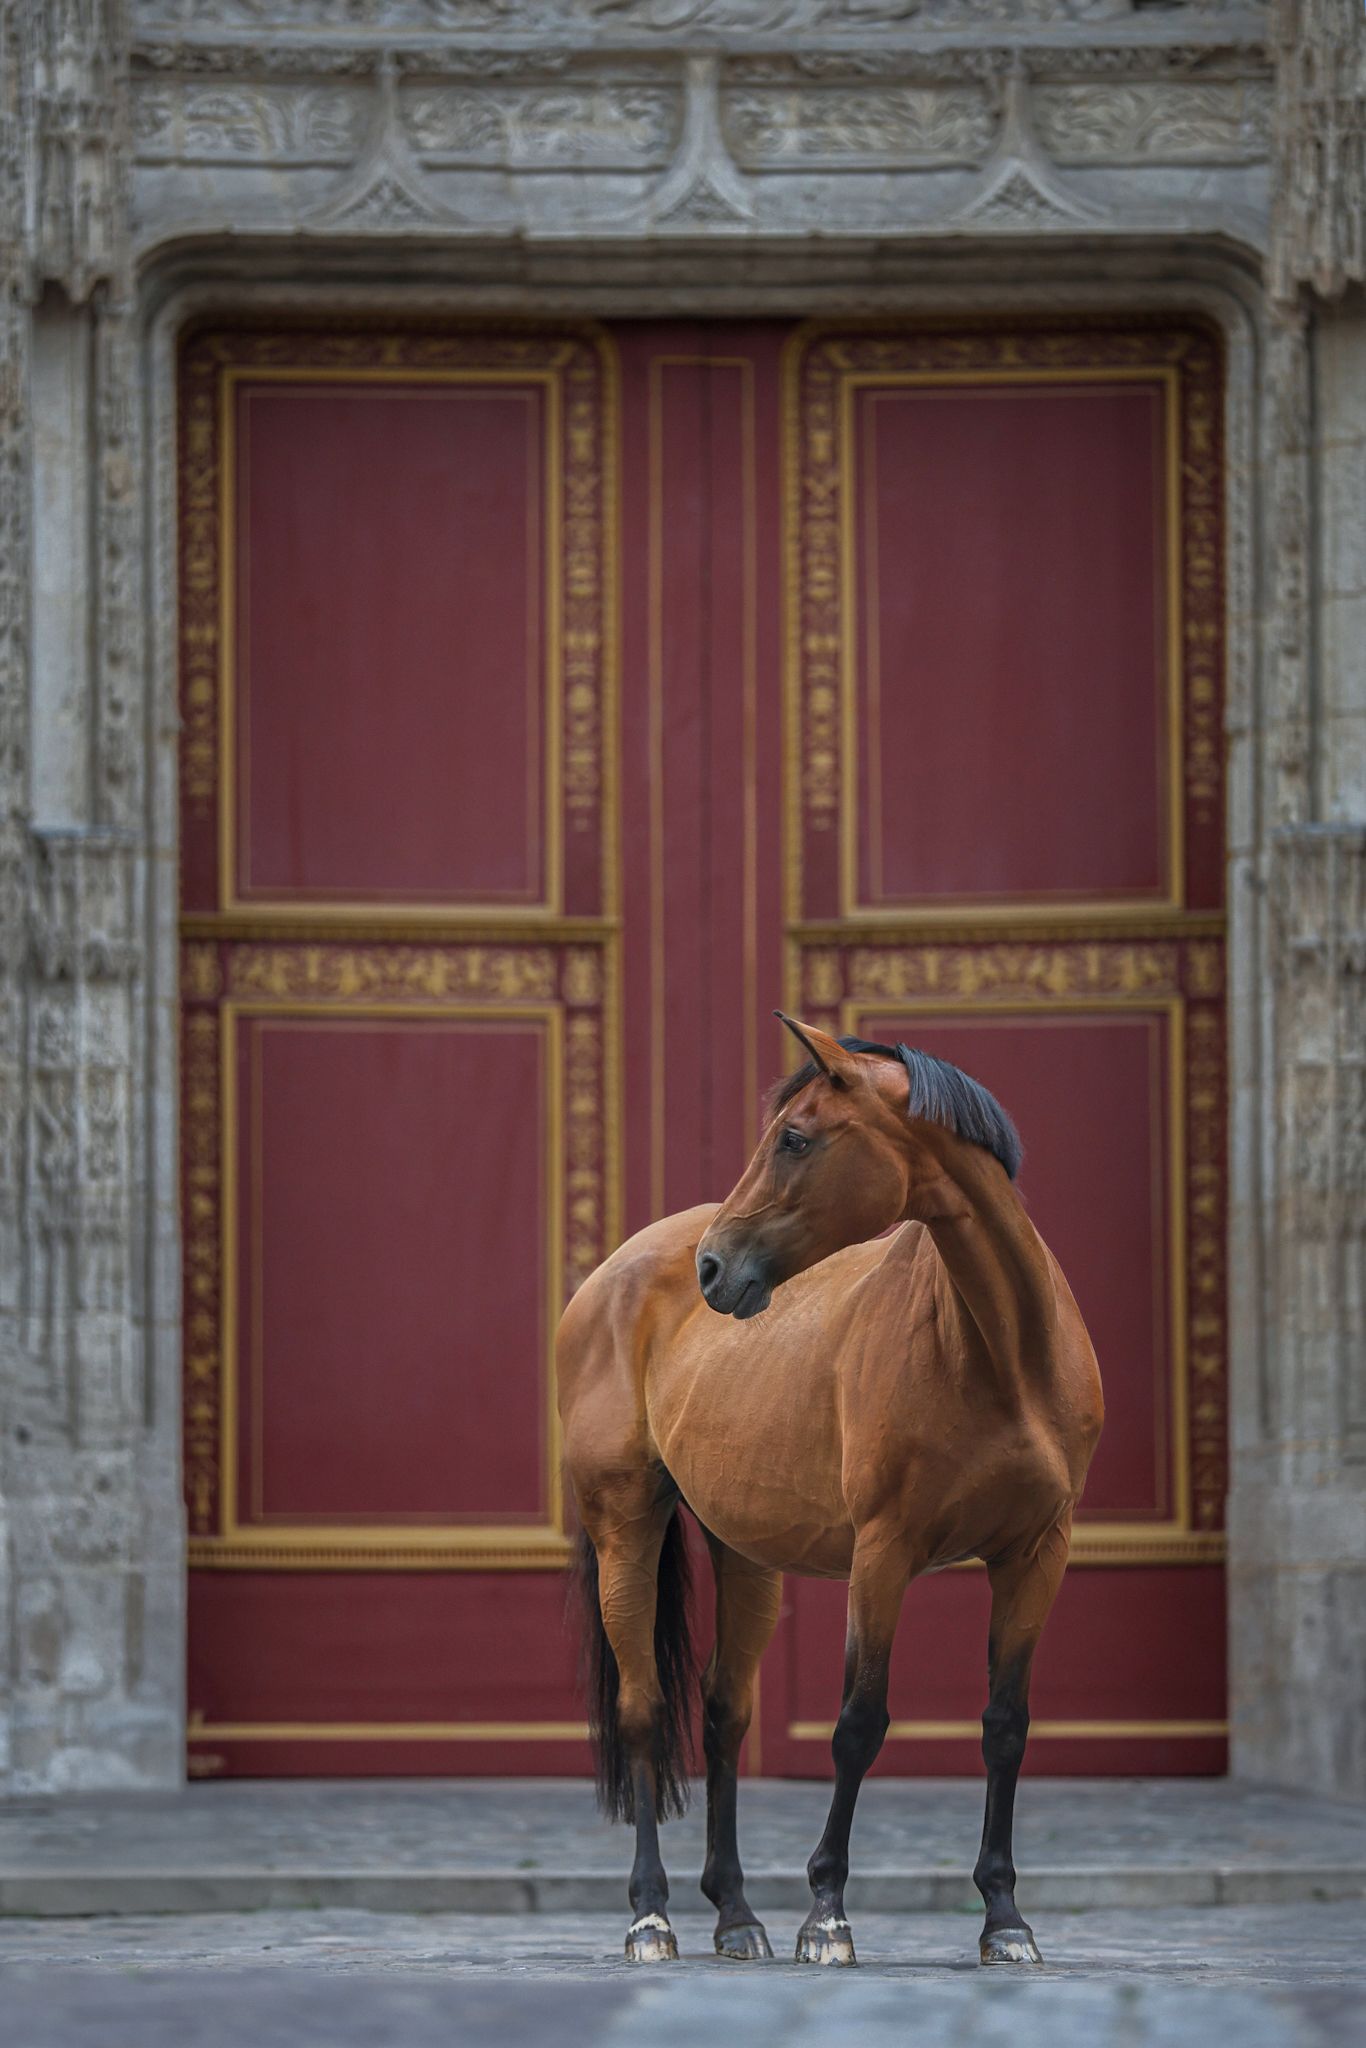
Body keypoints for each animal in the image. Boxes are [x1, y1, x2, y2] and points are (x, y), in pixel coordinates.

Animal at [557, 1012, 1103, 1968]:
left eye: (796, 1138)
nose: (713, 1268)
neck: (1004, 1358)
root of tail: (610, 1277)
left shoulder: (1037, 1555)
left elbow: (1005, 1725)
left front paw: (1005, 1919)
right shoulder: (883, 1554)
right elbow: (857, 1724)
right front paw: (828, 1916)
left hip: (746, 1558)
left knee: (723, 1713)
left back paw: (736, 1916)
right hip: (627, 1528)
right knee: (643, 1711)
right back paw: (652, 1918)